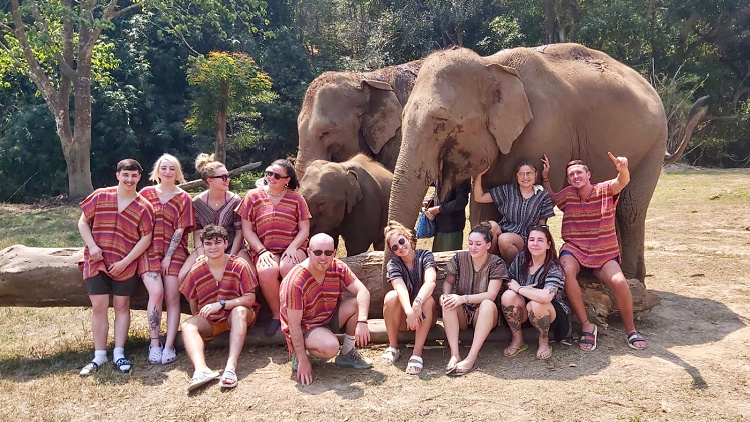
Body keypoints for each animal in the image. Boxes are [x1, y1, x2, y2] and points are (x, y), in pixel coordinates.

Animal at [390, 43, 708, 284]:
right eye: (402, 117)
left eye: (440, 124)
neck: (491, 65)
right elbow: (484, 210)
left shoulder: (546, 133)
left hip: (653, 144)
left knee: (630, 209)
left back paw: (630, 280)